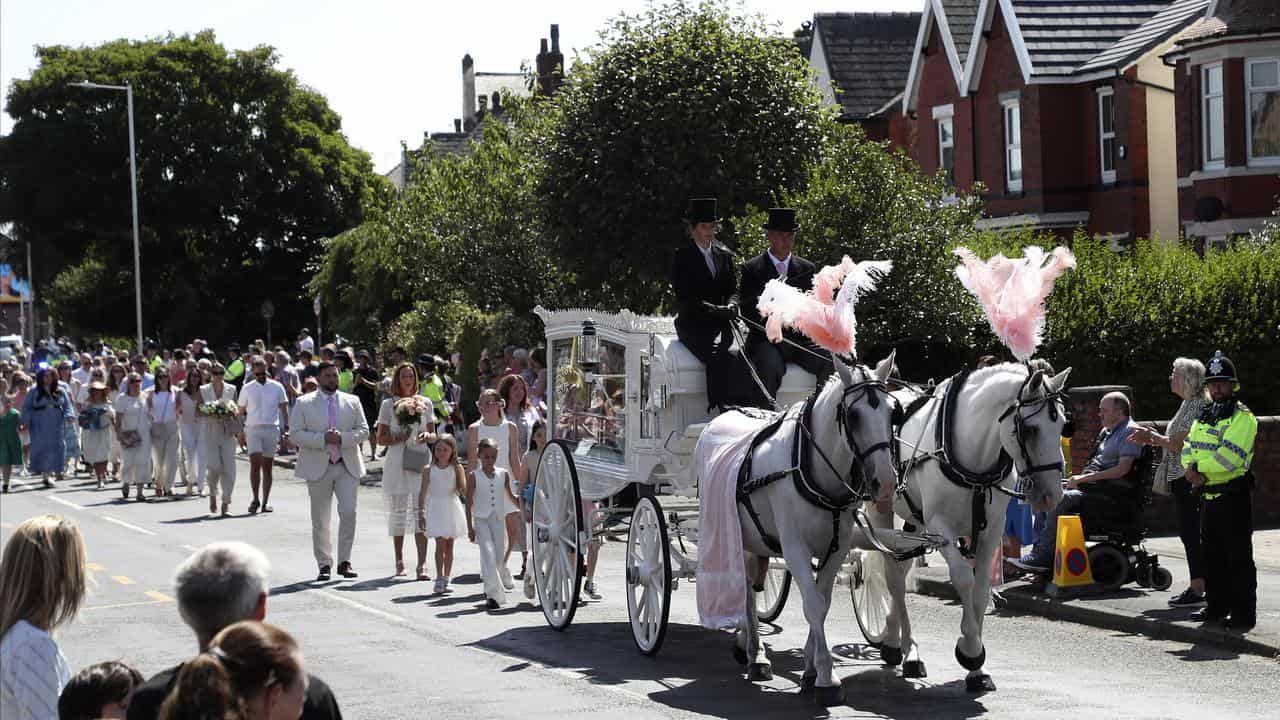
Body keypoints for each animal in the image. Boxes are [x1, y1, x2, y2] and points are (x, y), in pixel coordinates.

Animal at [706, 351, 896, 702]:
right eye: (853, 415)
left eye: (893, 412)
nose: (886, 482)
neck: (810, 464)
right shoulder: (795, 548)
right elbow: (814, 606)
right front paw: (826, 677)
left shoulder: (837, 548)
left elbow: (822, 601)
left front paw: (810, 669)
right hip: (733, 534)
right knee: (745, 593)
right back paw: (755, 655)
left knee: (751, 586)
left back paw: (748, 647)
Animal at [875, 363, 1075, 691]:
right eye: (1030, 429)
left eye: (1062, 427)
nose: (1052, 495)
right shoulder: (940, 527)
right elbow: (963, 579)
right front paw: (969, 651)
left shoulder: (991, 529)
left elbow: (982, 589)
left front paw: (978, 669)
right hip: (881, 510)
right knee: (893, 577)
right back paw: (903, 648)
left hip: (913, 520)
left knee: (901, 573)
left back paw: (899, 644)